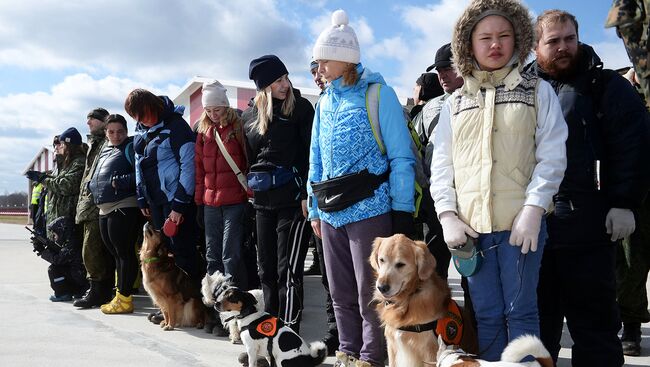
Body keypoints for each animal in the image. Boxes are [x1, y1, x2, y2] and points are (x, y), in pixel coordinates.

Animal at [370, 236, 476, 367]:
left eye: (400, 264)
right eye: (381, 260)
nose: (382, 287)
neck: (408, 298)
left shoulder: (429, 351)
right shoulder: (392, 345)